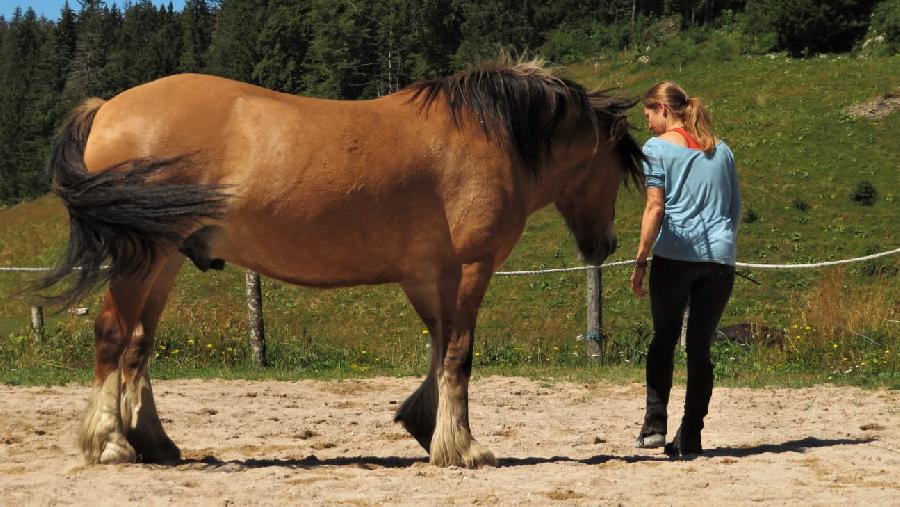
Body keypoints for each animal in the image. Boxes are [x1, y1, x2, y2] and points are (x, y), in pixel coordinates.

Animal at [33, 58, 640, 468]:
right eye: (617, 166)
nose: (606, 245)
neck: (488, 135)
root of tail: (105, 108)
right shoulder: (472, 267)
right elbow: (459, 355)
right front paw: (463, 447)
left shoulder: (429, 276)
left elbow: (439, 348)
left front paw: (426, 426)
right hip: (143, 255)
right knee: (112, 335)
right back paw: (110, 443)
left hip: (164, 262)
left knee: (138, 346)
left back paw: (155, 442)